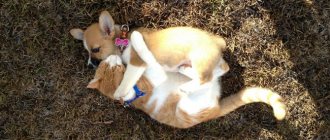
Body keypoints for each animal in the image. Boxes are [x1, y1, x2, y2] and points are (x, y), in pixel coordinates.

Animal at [70, 10, 227, 101]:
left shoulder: (136, 61)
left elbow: (127, 79)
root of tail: (218, 43)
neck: (123, 42)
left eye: (95, 49)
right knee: (220, 71)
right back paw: (185, 70)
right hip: (205, 63)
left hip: (200, 59)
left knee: (207, 79)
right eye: (87, 51)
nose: (89, 65)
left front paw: (120, 92)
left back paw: (187, 87)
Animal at [87, 55, 286, 129]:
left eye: (106, 63)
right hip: (186, 107)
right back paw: (190, 72)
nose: (113, 56)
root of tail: (215, 109)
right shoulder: (148, 80)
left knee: (217, 72)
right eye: (114, 66)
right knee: (213, 75)